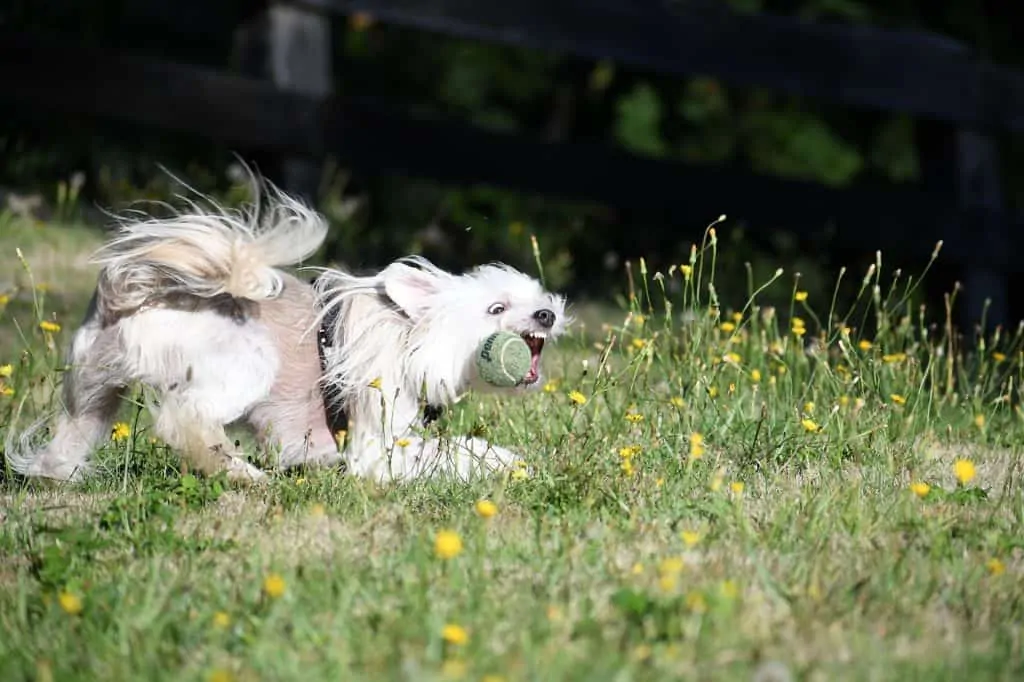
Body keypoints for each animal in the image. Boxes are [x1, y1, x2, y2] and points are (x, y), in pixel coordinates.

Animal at [2, 180, 569, 483]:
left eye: (538, 298)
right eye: (497, 308)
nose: (547, 315)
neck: (410, 335)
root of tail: (133, 289)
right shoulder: (375, 444)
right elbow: (440, 454)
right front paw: (493, 467)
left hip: (93, 391)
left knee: (69, 440)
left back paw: (62, 474)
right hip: (246, 362)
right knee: (184, 422)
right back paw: (241, 474)